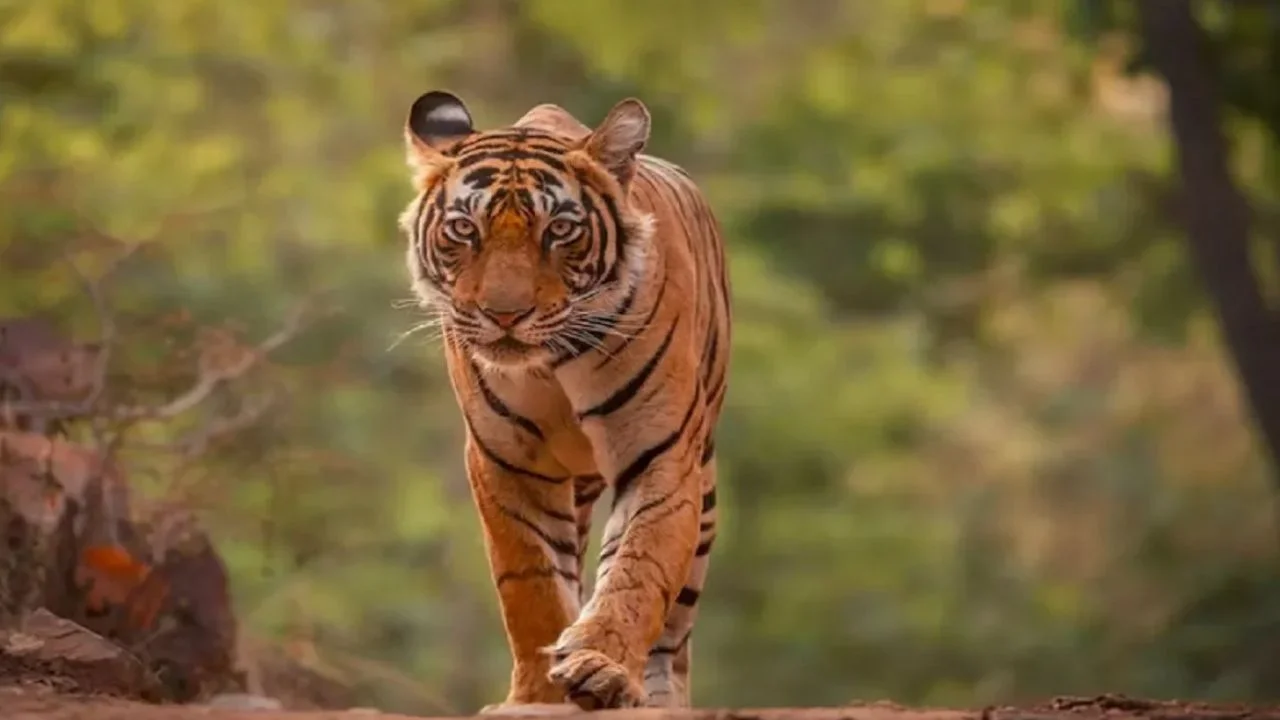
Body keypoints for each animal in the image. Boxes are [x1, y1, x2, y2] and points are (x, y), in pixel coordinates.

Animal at [397, 90, 731, 712]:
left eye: (560, 230)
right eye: (464, 229)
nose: (504, 315)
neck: (552, 361)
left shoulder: (661, 452)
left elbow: (639, 566)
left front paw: (601, 667)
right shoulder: (506, 463)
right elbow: (531, 583)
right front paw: (536, 693)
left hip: (704, 487)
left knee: (675, 630)